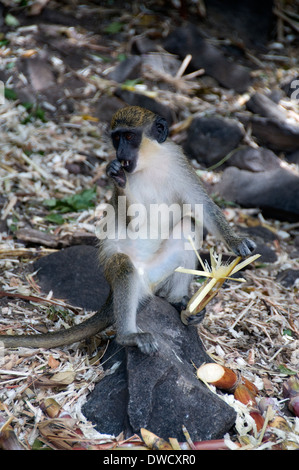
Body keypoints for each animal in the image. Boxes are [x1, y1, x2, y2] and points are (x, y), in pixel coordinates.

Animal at [1, 103, 256, 352]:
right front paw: (119, 179)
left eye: (130, 136)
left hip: (159, 272)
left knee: (189, 226)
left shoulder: (178, 161)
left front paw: (236, 242)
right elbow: (133, 221)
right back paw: (128, 336)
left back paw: (179, 304)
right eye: (117, 138)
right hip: (123, 275)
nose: (120, 153)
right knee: (123, 266)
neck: (149, 163)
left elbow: (203, 207)